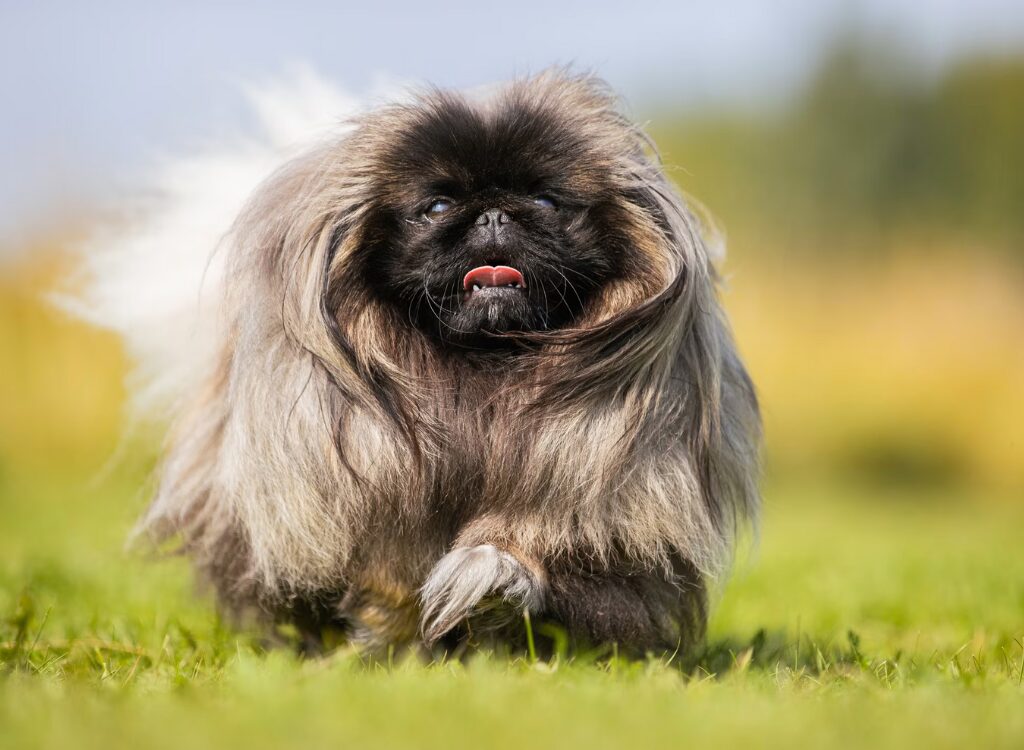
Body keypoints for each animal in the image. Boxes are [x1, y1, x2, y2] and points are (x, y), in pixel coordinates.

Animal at [77, 70, 761, 655]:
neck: (484, 366)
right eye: (436, 207)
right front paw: (396, 640)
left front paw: (492, 573)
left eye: (545, 201)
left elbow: (526, 543)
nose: (494, 213)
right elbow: (391, 572)